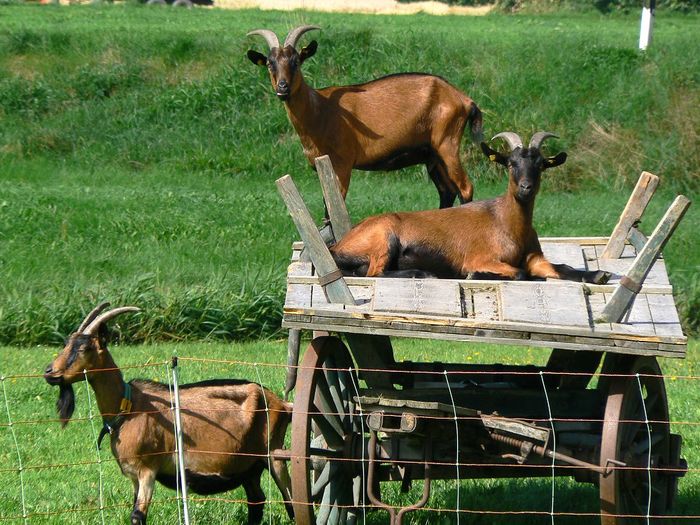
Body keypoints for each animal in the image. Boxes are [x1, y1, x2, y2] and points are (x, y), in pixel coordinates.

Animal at [41, 302, 292, 524]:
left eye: (84, 348)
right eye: (66, 344)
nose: (49, 372)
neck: (128, 407)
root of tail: (281, 403)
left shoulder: (147, 470)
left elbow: (137, 516)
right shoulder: (133, 475)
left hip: (274, 453)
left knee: (290, 500)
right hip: (249, 467)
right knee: (257, 501)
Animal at [246, 24, 482, 208]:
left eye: (296, 61)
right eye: (270, 63)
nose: (282, 87)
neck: (319, 110)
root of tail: (463, 99)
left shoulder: (341, 163)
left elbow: (333, 208)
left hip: (447, 143)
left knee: (465, 188)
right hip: (432, 154)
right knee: (447, 191)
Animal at [330, 133, 608, 284]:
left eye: (540, 165)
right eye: (511, 163)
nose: (526, 187)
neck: (507, 223)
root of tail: (339, 245)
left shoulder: (535, 258)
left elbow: (562, 267)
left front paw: (598, 274)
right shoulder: (481, 257)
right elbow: (519, 273)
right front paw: (474, 276)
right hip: (384, 237)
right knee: (374, 273)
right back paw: (423, 273)